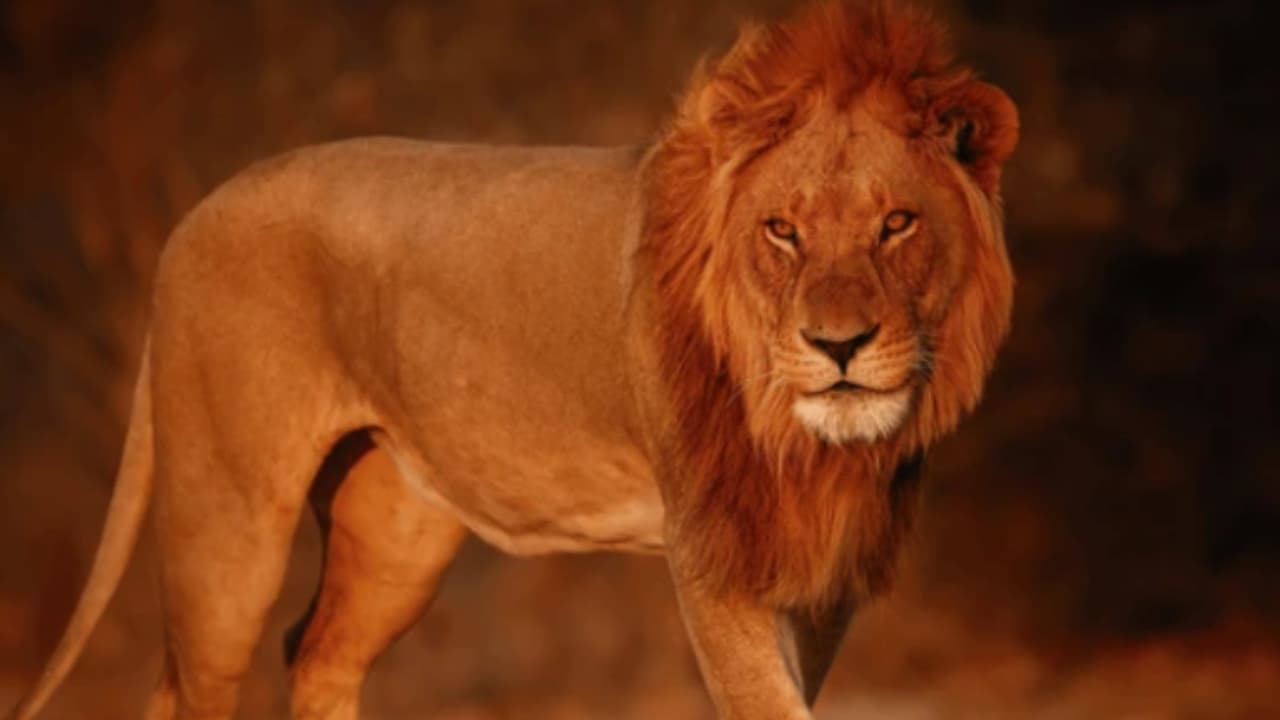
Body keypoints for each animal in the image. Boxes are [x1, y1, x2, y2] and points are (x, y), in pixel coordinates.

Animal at [8, 1, 1018, 718]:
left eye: (896, 224)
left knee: (316, 652)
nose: (837, 346)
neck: (814, 447)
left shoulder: (821, 568)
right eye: (783, 231)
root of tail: (192, 214)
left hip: (396, 530)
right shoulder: (713, 557)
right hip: (226, 523)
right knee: (188, 684)